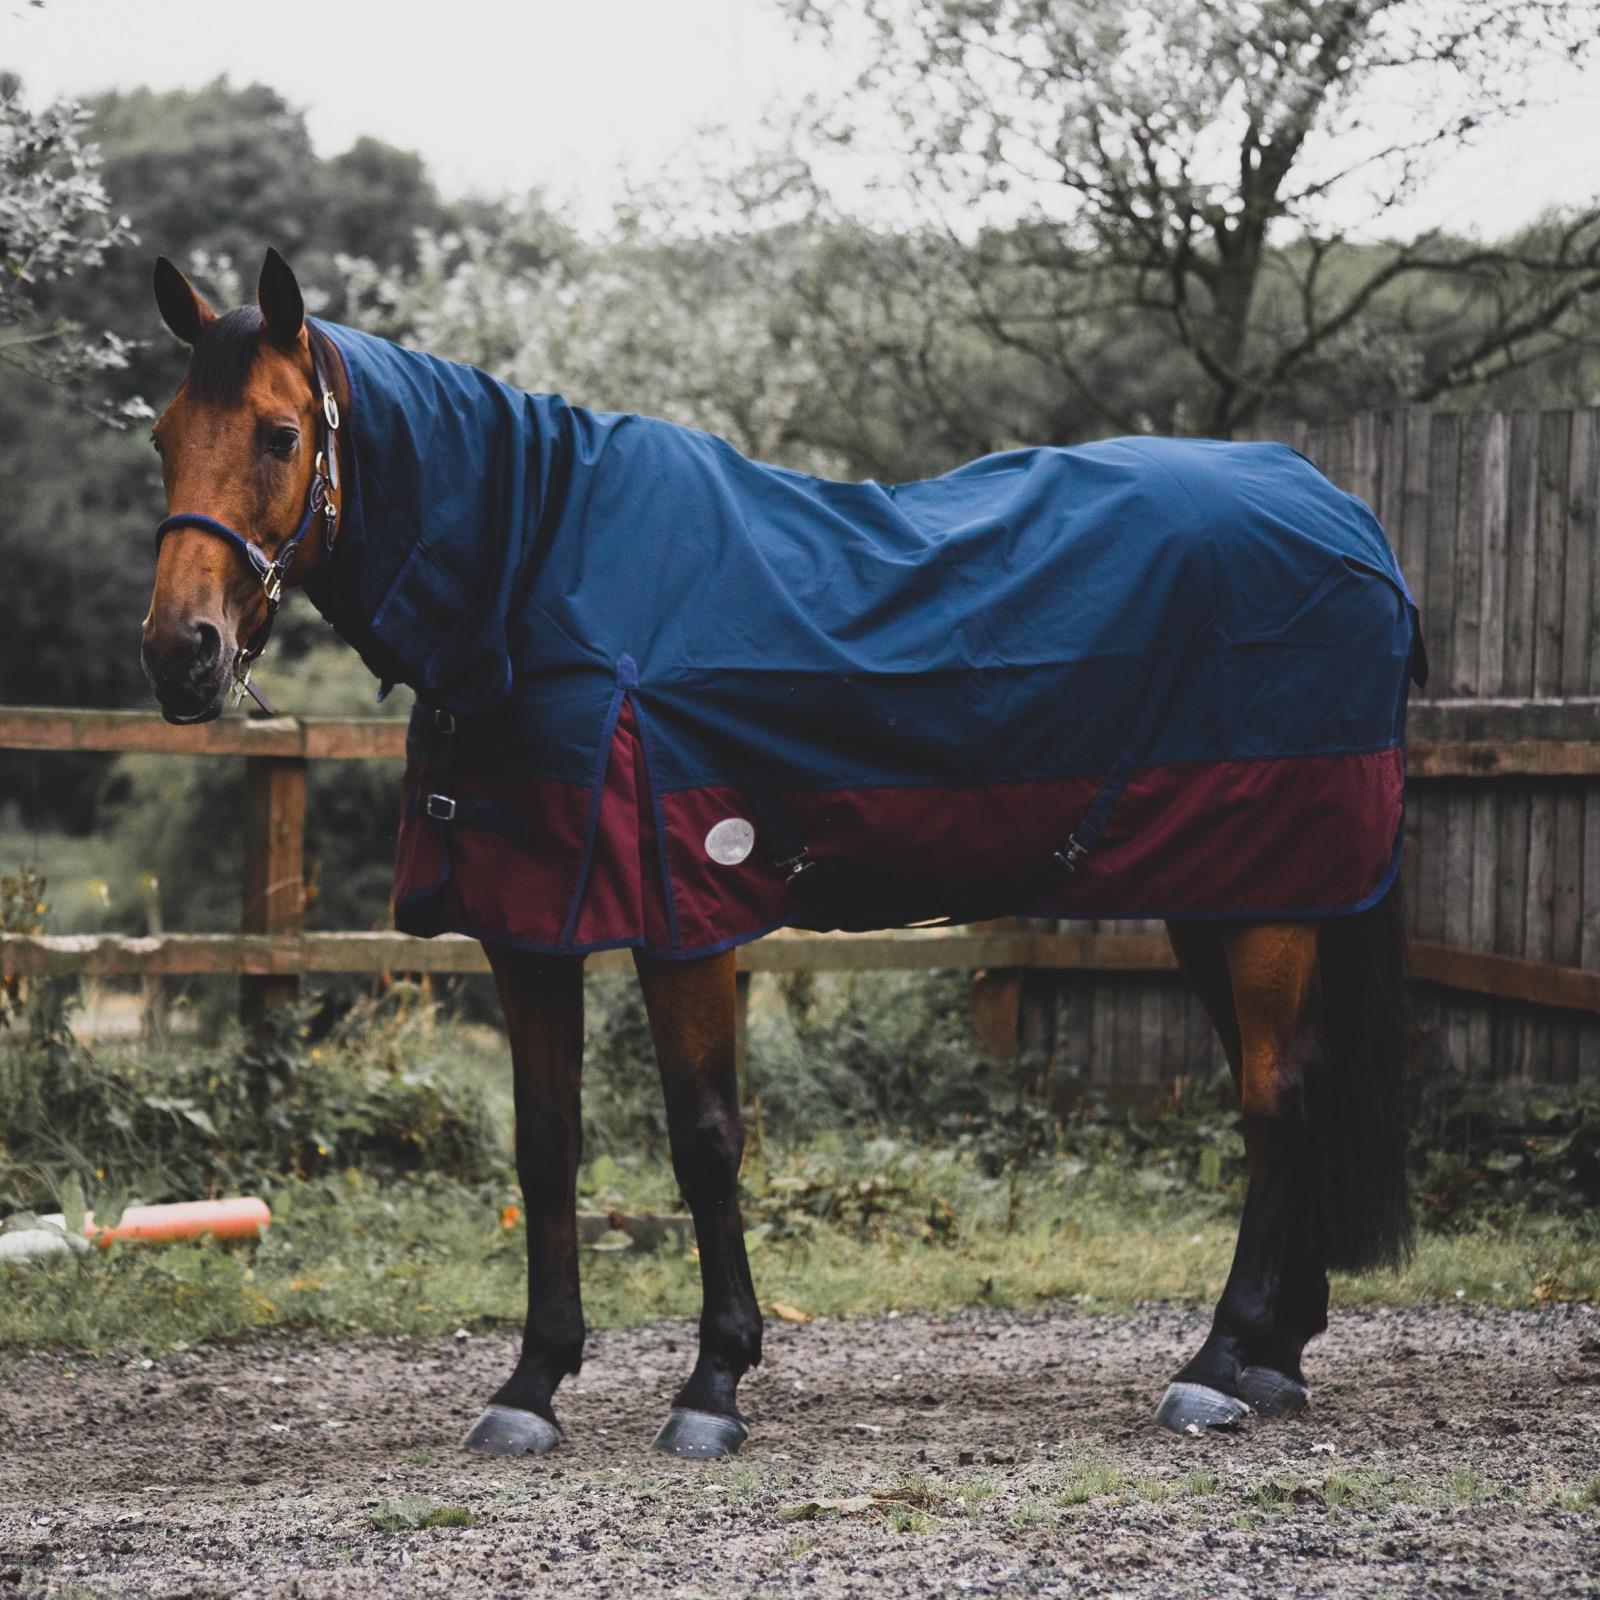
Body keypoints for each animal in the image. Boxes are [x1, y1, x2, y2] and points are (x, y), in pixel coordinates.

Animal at [141, 249, 1415, 1460]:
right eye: (162, 436)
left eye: (279, 434)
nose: (180, 653)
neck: (539, 577)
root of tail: (1345, 518)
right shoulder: (529, 926)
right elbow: (545, 1146)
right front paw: (531, 1384)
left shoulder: (685, 917)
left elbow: (705, 1139)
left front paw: (713, 1383)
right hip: (1229, 891)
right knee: (1290, 1082)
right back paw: (1274, 1354)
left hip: (1267, 892)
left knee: (1272, 1096)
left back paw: (1214, 1363)